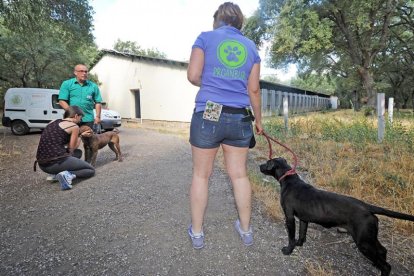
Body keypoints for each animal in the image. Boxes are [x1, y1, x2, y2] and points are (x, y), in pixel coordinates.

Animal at [258, 157, 414, 276]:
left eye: (267, 162)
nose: (260, 166)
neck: (289, 179)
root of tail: (367, 207)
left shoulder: (289, 217)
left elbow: (291, 237)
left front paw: (288, 250)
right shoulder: (304, 219)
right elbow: (302, 234)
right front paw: (299, 244)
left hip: (364, 242)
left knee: (386, 266)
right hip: (369, 237)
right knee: (383, 251)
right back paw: (375, 265)